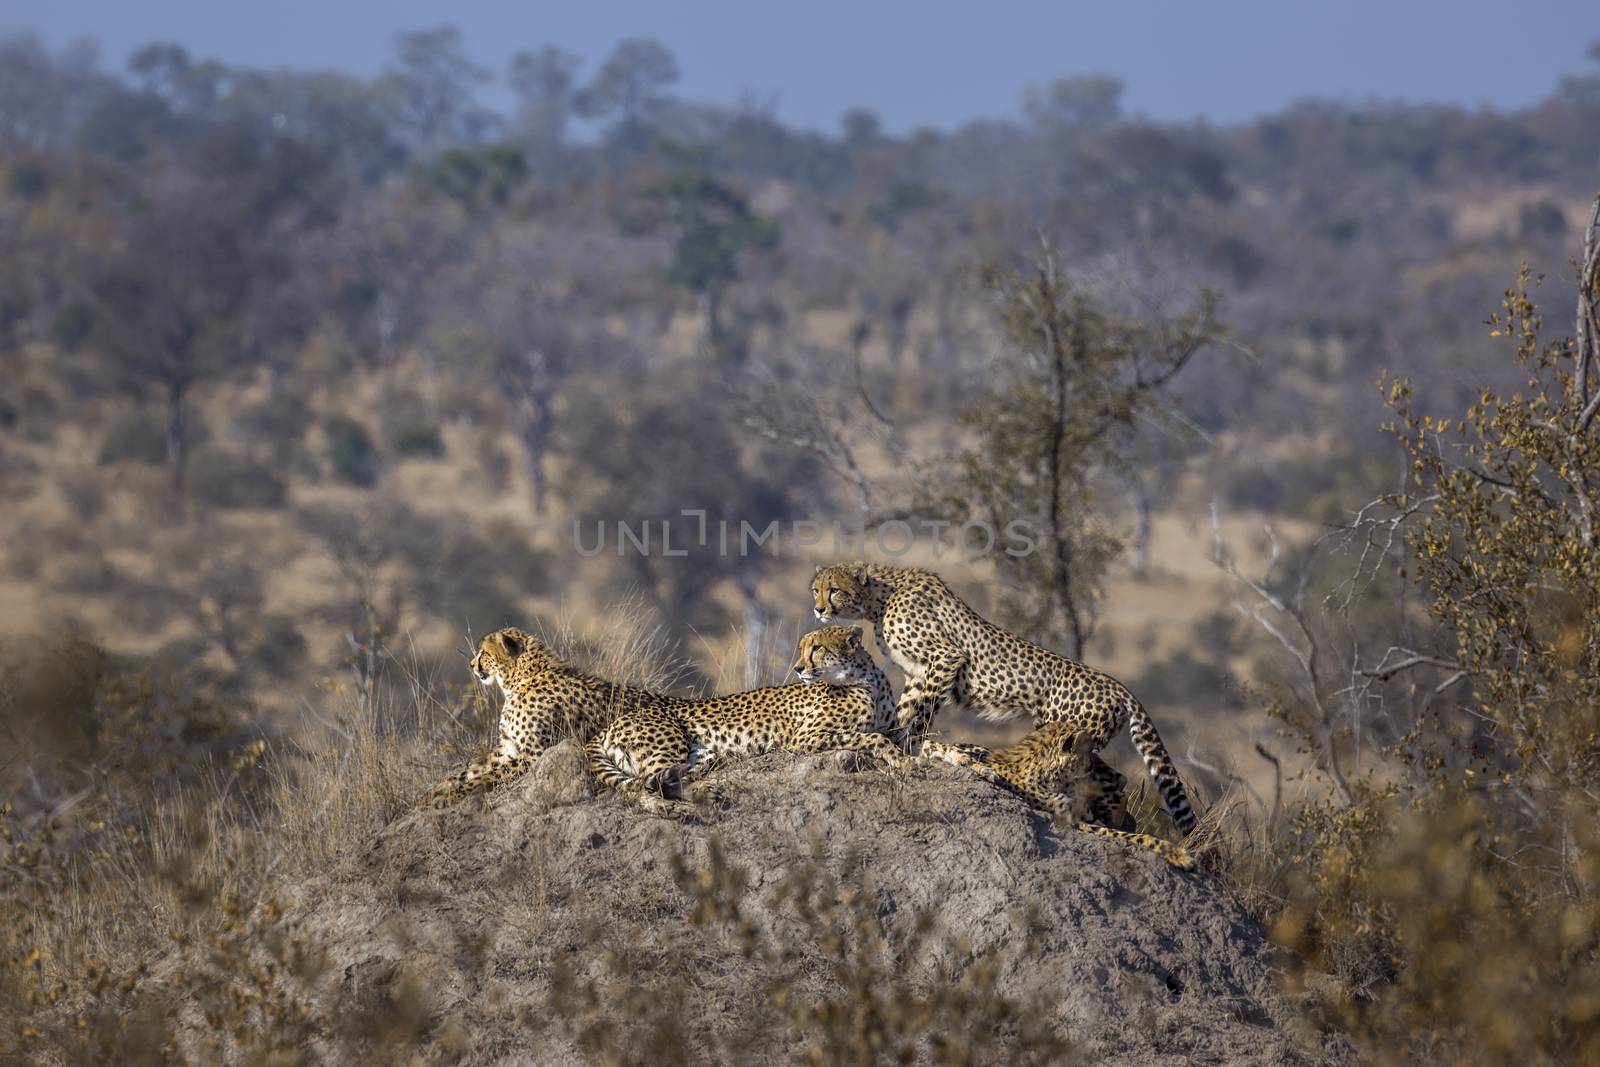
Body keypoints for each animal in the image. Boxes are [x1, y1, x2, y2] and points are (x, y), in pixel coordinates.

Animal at [422, 627, 684, 809]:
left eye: (484, 653)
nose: (471, 665)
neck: (520, 678)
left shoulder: (532, 755)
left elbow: (483, 777)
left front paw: (449, 796)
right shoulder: (507, 748)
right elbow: (470, 768)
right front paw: (436, 790)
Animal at [592, 620, 915, 806]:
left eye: (817, 648)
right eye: (802, 647)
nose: (798, 668)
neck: (865, 679)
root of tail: (612, 723)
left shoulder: (894, 728)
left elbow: (907, 737)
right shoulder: (806, 738)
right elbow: (873, 738)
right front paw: (900, 761)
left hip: (705, 755)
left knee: (668, 778)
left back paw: (705, 794)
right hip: (669, 746)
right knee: (647, 783)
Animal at [812, 563, 1203, 838]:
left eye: (834, 590)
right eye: (815, 589)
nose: (818, 609)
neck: (880, 596)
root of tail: (1117, 685)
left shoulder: (944, 659)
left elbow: (916, 717)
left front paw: (908, 746)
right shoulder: (919, 672)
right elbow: (911, 709)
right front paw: (907, 743)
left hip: (1066, 736)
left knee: (1110, 778)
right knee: (1115, 778)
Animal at [921, 723, 1196, 870]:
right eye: (1089, 755)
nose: (1119, 777)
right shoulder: (1073, 822)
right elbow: (1134, 836)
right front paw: (1180, 856)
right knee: (934, 747)